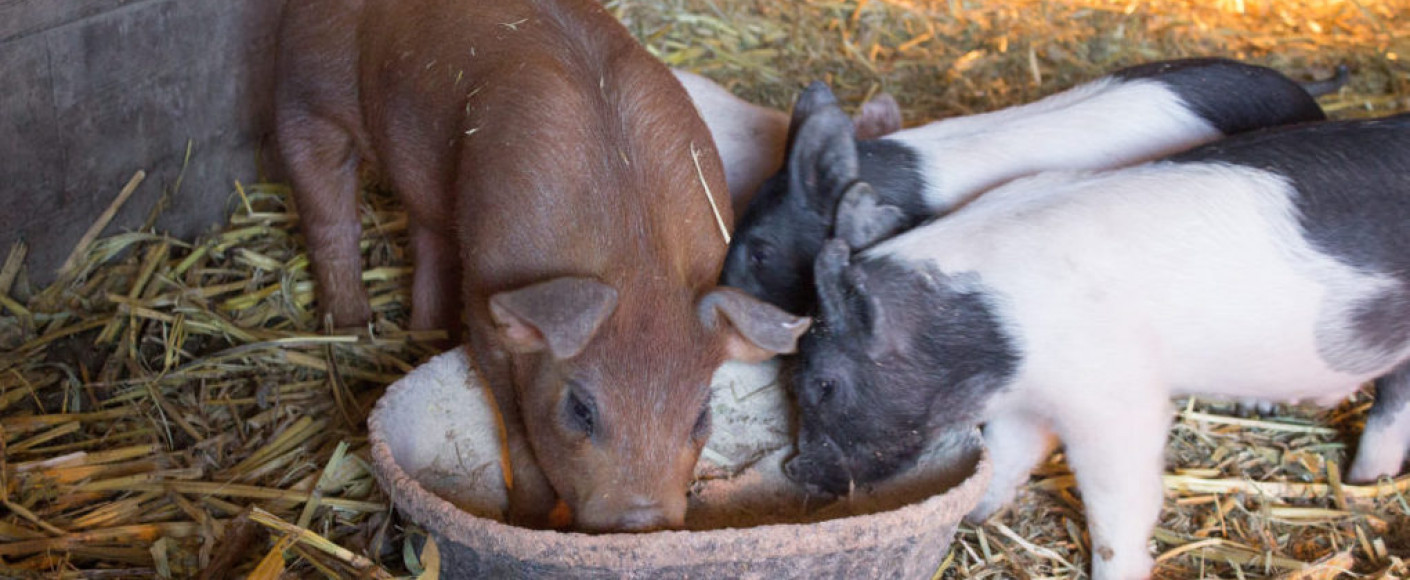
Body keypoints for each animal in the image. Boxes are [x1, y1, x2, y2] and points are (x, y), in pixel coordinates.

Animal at [276, 0, 812, 530]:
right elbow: (513, 421)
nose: (642, 522)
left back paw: (426, 336)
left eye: (701, 414)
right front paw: (530, 519)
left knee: (427, 234)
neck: (635, 258)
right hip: (309, 94)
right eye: (581, 409)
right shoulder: (487, 299)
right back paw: (349, 328)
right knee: (328, 213)